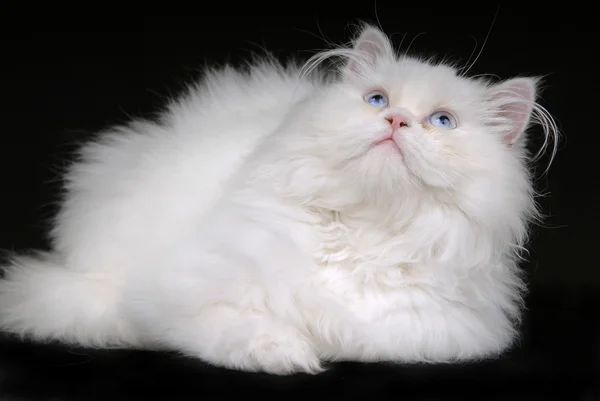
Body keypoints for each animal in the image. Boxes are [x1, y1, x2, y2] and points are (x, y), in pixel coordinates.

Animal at [0, 25, 556, 376]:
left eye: (442, 122)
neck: (362, 233)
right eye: (376, 100)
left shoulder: (423, 332)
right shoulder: (174, 295)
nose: (396, 120)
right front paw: (287, 355)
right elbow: (236, 328)